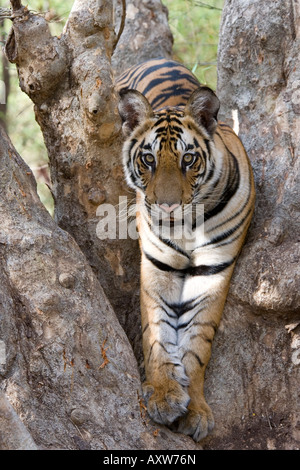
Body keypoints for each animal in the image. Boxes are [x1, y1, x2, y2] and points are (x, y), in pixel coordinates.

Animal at [116, 57, 254, 440]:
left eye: (188, 159)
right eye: (148, 159)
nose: (167, 207)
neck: (188, 224)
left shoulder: (213, 269)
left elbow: (197, 341)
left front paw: (195, 409)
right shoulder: (158, 266)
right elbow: (157, 333)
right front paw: (164, 394)